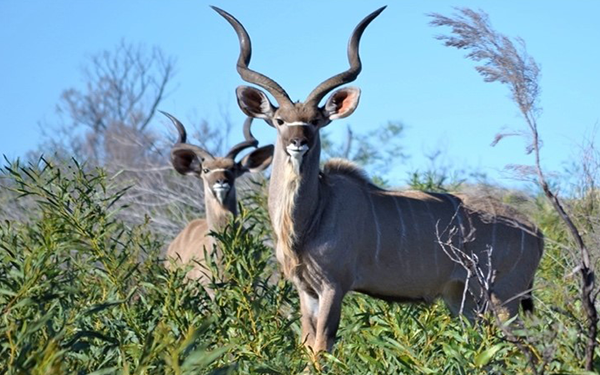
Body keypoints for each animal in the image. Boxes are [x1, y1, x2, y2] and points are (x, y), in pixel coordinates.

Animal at [214, 5, 544, 352]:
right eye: (279, 120)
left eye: (316, 120)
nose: (298, 142)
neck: (313, 216)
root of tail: (537, 232)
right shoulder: (306, 290)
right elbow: (308, 345)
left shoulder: (334, 285)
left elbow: (322, 346)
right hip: (464, 299)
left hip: (503, 298)